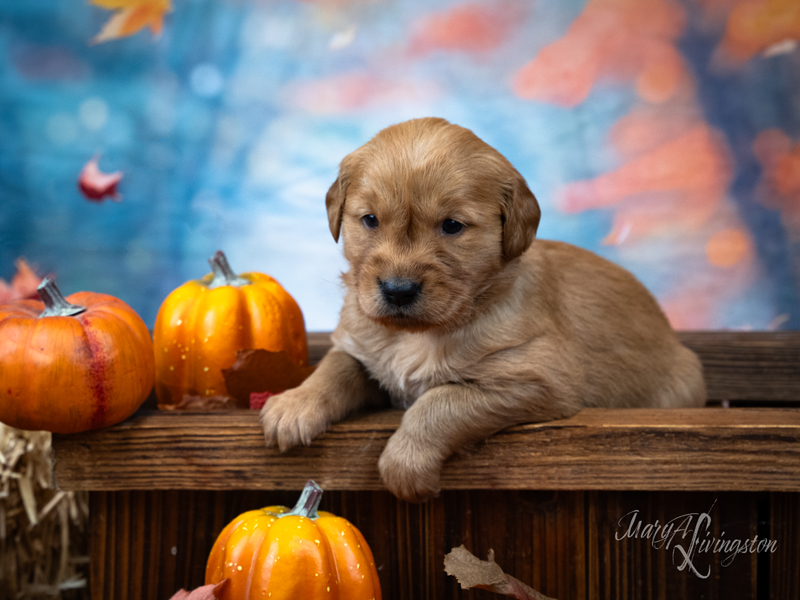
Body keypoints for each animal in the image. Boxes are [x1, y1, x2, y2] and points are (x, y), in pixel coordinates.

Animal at [260, 116, 704, 502]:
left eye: (452, 226)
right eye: (370, 220)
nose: (398, 291)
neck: (418, 334)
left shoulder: (533, 379)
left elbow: (439, 402)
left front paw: (405, 464)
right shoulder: (361, 347)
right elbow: (334, 366)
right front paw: (294, 405)